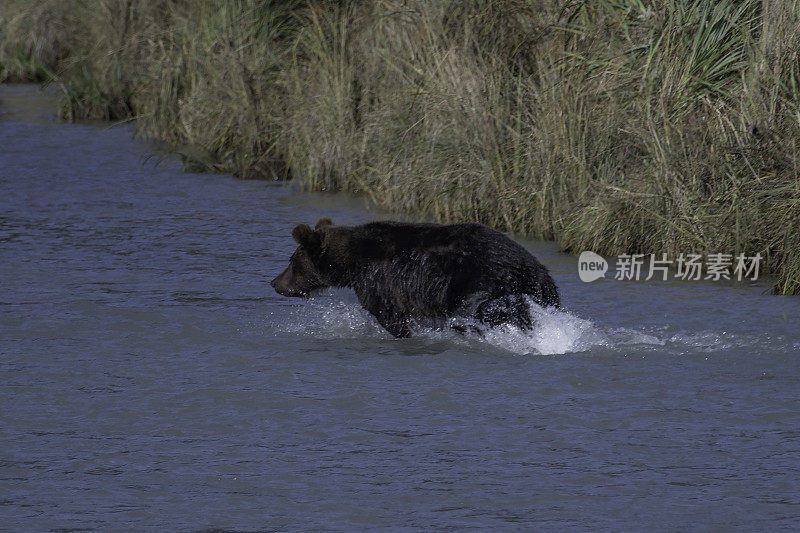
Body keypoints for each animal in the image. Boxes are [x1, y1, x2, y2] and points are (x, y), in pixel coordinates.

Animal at [272, 216, 560, 336]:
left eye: (292, 261)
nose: (275, 283)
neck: (352, 262)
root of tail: (526, 264)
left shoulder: (378, 280)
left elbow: (388, 314)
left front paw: (406, 332)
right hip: (544, 286)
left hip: (479, 282)